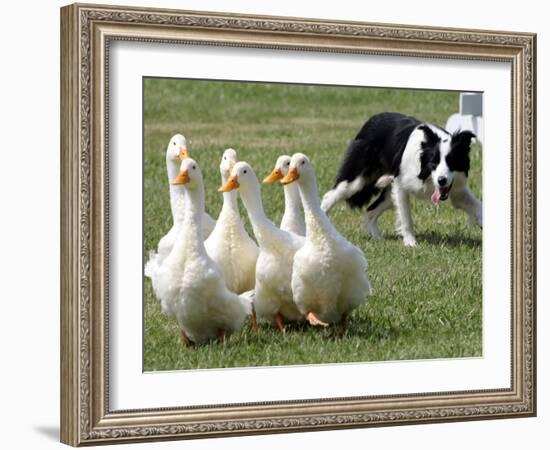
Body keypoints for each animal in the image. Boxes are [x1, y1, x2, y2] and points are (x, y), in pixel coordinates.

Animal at [322, 111, 486, 246]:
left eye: (452, 162)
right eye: (434, 162)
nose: (441, 180)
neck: (425, 174)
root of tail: (372, 120)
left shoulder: (457, 190)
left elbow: (478, 206)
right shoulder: (401, 186)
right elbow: (406, 218)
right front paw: (411, 243)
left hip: (389, 194)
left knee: (370, 211)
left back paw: (378, 238)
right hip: (357, 180)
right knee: (330, 196)